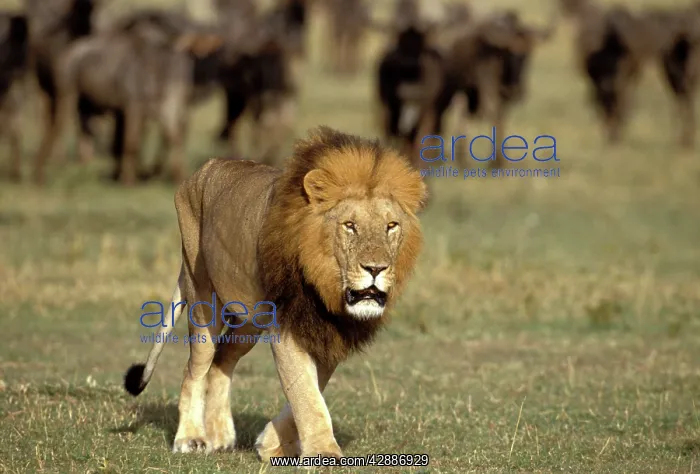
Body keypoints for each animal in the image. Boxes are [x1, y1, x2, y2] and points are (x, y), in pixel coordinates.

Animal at [123, 126, 428, 460]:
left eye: (391, 226)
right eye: (350, 225)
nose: (376, 268)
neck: (326, 287)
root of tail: (202, 170)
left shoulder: (328, 332)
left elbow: (310, 389)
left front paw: (271, 443)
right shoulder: (289, 325)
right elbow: (304, 392)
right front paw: (323, 452)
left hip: (249, 320)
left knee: (222, 360)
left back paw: (220, 436)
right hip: (202, 296)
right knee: (195, 367)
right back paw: (190, 438)